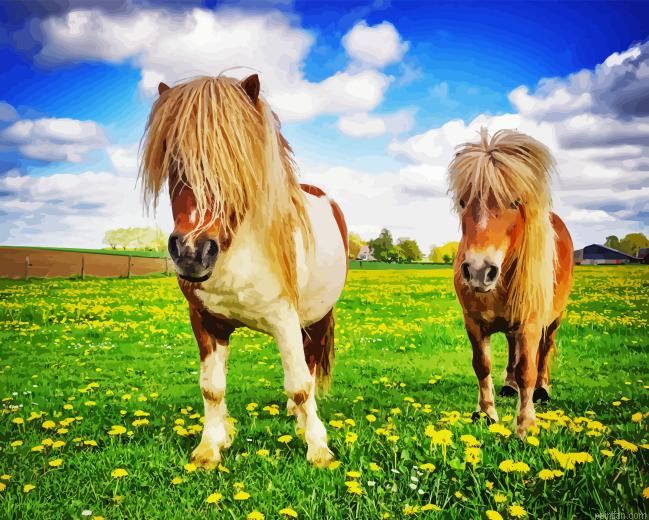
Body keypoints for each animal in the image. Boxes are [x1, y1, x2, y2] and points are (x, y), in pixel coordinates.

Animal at [139, 74, 348, 468]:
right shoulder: (206, 321)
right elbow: (211, 387)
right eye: (172, 156)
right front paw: (209, 447)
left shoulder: (285, 319)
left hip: (315, 317)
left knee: (310, 367)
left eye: (236, 160)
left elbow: (300, 384)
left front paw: (318, 448)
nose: (191, 251)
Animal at [448, 128, 573, 437]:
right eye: (463, 202)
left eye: (515, 202)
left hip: (554, 319)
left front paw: (525, 426)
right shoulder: (473, 322)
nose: (478, 270)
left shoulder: (531, 323)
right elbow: (482, 365)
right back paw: (508, 385)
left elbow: (528, 368)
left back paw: (542, 389)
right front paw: (486, 414)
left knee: (545, 350)